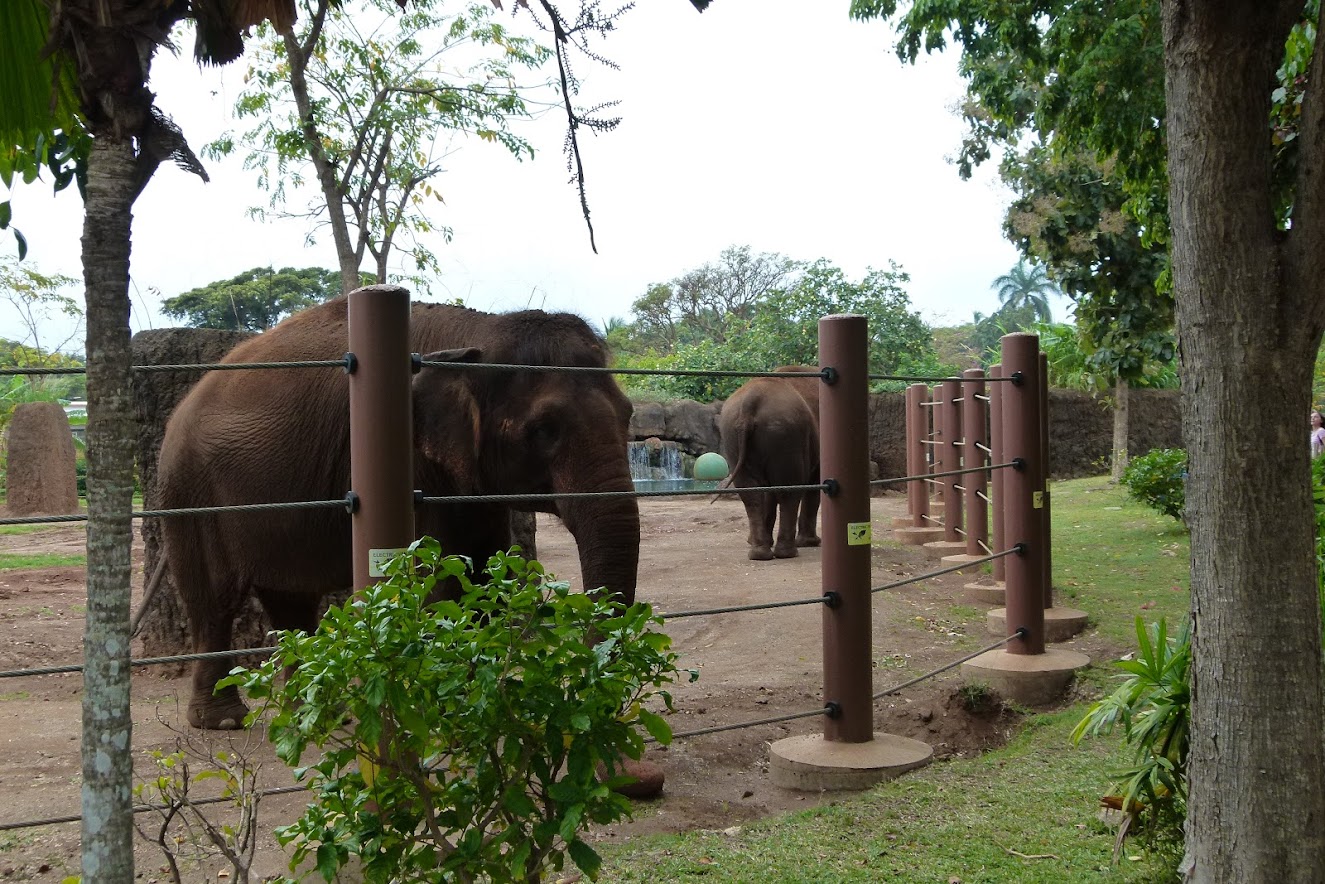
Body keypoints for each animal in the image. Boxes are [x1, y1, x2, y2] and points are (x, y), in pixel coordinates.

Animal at [157, 294, 643, 731]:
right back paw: (222, 721)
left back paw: (321, 716)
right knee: (213, 601)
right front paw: (448, 711)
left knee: (291, 600)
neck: (481, 330)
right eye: (543, 430)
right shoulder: (410, 458)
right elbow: (436, 580)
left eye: (629, 415)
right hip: (190, 494)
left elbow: (483, 571)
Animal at [720, 365, 821, 559]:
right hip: (786, 435)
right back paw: (788, 552)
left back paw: (759, 552)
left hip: (733, 434)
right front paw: (811, 543)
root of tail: (751, 401)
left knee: (751, 493)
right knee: (789, 490)